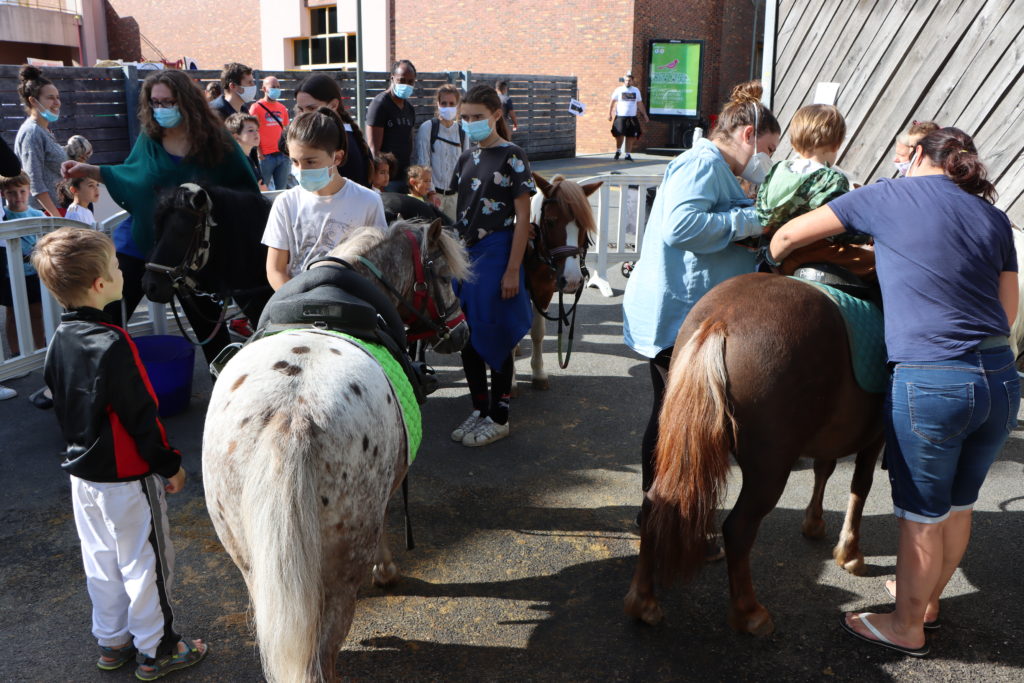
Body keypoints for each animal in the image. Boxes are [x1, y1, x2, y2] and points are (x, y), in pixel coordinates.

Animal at [524, 172, 602, 389]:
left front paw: (538, 372)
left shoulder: (543, 291)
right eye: (550, 222)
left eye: (583, 224)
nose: (573, 280)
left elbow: (537, 332)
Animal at [622, 270, 888, 634]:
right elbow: (860, 486)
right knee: (738, 529)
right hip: (770, 470)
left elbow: (824, 468)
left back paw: (643, 601)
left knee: (654, 506)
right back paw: (749, 612)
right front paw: (849, 553)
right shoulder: (876, 437)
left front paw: (814, 523)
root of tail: (721, 318)